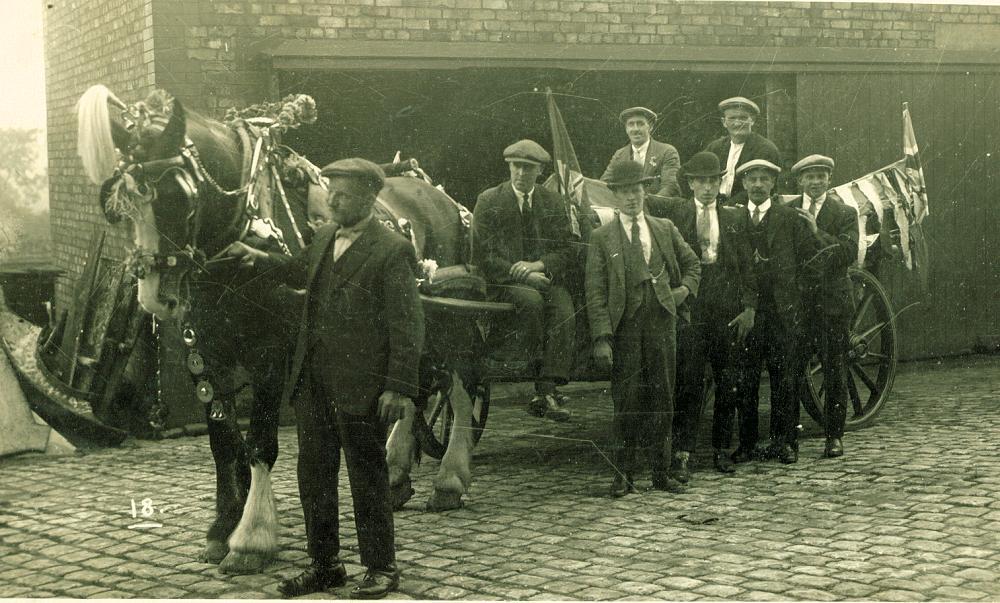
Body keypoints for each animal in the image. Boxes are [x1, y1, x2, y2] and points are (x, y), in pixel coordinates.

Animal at [74, 85, 480, 576]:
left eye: (177, 196)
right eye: (120, 205)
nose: (155, 296)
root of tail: (439, 195)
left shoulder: (270, 356)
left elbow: (260, 443)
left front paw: (251, 538)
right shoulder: (205, 355)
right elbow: (223, 444)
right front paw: (221, 528)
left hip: (445, 318)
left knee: (456, 385)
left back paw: (450, 479)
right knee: (415, 388)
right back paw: (397, 470)